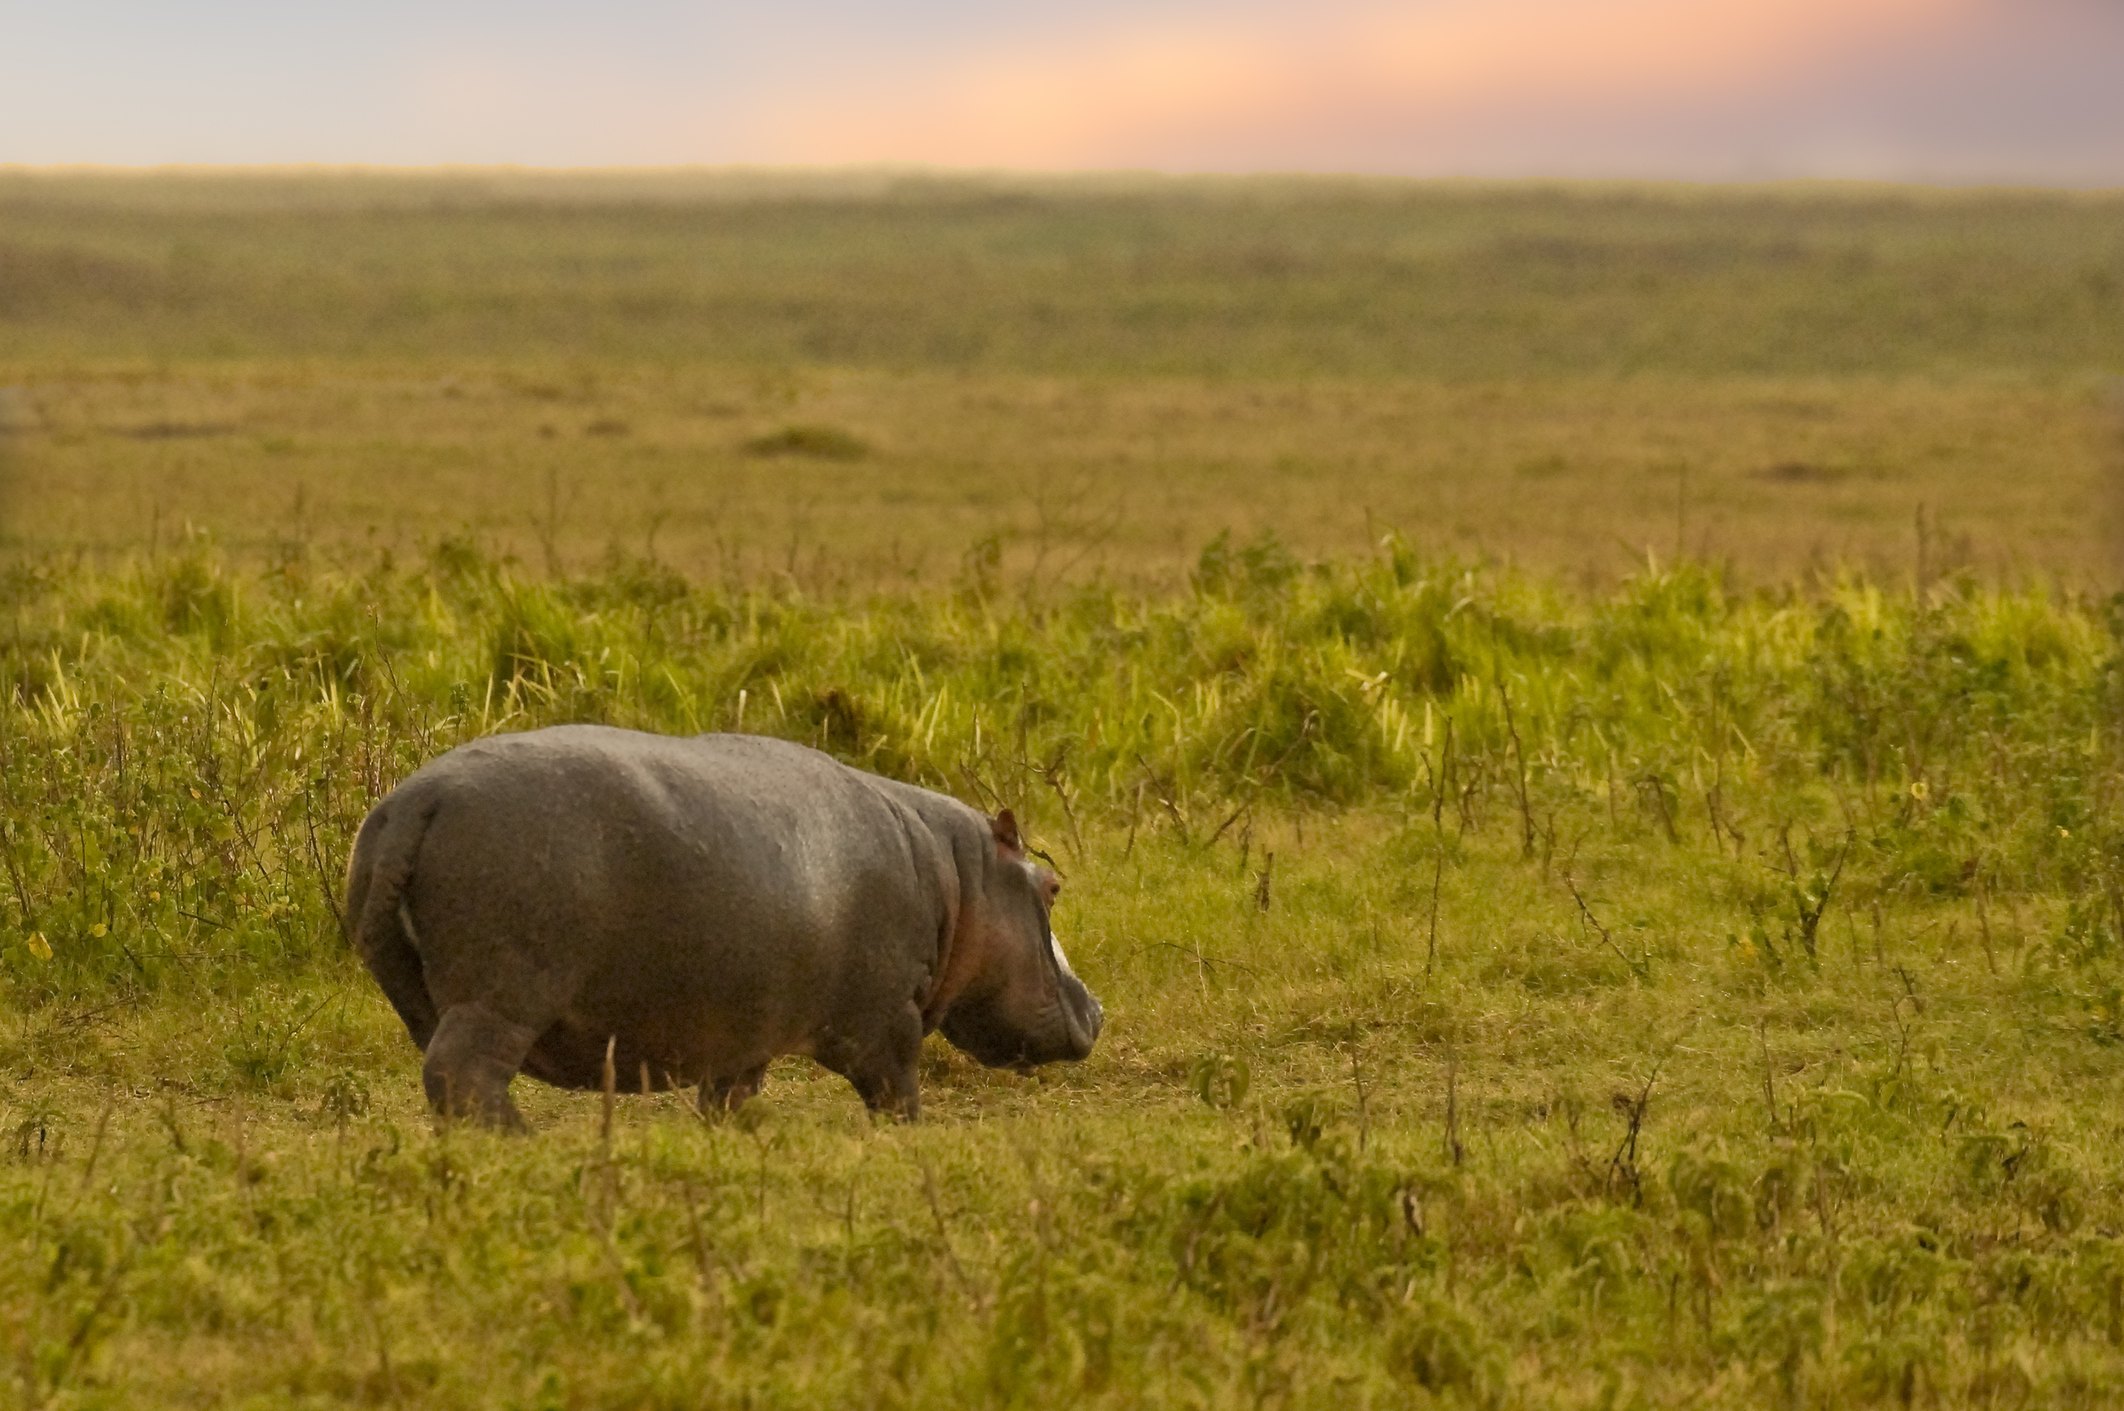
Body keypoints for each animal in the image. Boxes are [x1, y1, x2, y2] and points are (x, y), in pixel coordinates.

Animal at [343, 726, 1102, 1128]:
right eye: (1052, 887)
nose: (1097, 1008)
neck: (958, 874)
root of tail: (411, 805)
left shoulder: (746, 1033)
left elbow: (729, 1098)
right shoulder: (887, 1021)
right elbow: (897, 1093)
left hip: (429, 996)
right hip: (503, 995)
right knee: (464, 1076)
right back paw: (522, 1145)